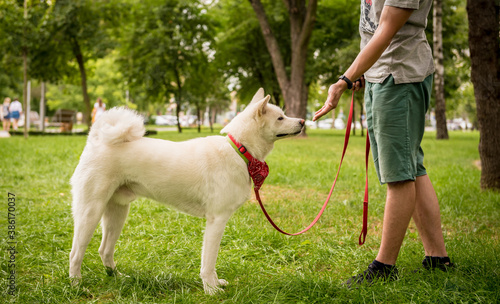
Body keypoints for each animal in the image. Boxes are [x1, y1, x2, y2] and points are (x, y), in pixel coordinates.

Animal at [69, 88, 304, 294]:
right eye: (280, 118)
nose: (302, 121)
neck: (239, 150)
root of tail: (96, 141)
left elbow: (211, 262)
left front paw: (215, 284)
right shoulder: (217, 220)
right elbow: (208, 262)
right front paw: (211, 290)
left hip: (117, 213)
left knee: (104, 250)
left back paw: (117, 278)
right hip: (90, 212)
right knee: (75, 254)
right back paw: (77, 286)